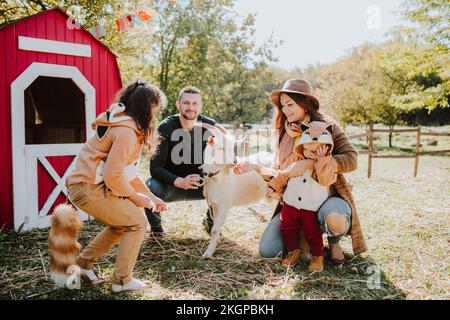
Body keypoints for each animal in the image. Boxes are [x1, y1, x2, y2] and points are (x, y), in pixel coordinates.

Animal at [199, 124, 268, 258]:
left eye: (233, 148)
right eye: (221, 148)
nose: (235, 162)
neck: (217, 179)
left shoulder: (224, 205)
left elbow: (215, 229)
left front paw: (208, 253)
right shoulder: (215, 204)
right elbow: (215, 225)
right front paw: (216, 243)